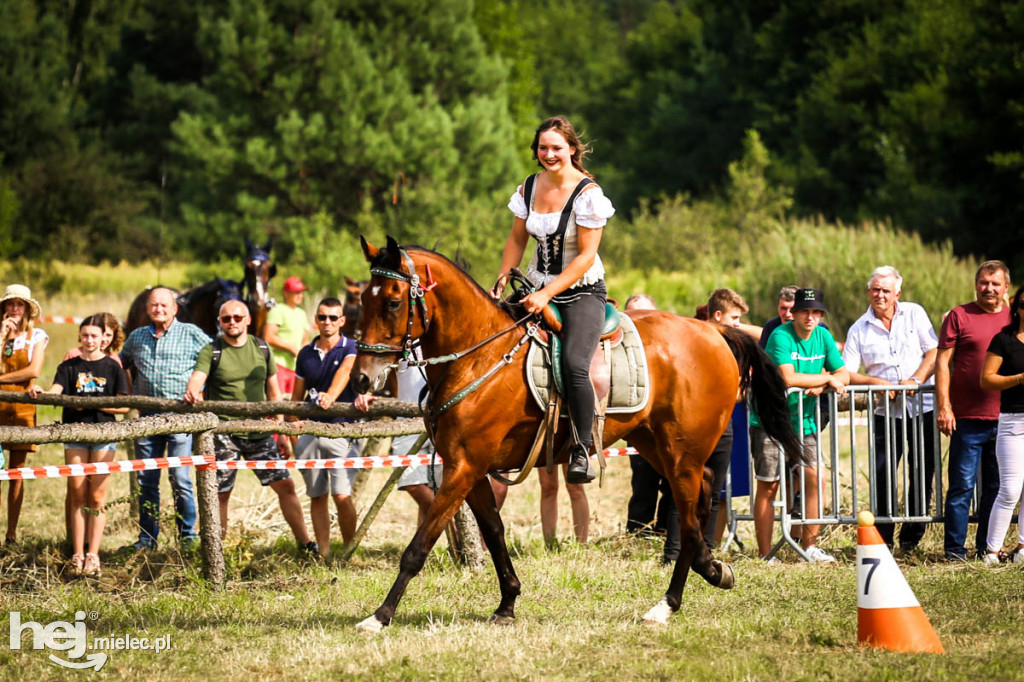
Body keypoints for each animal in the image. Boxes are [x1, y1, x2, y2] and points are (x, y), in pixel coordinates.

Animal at [352, 238, 806, 630]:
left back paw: (668, 603)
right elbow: (494, 534)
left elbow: (419, 545)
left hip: (681, 455)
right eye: (362, 301)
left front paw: (380, 615)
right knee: (707, 489)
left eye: (393, 301)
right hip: (656, 445)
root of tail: (714, 332)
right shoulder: (471, 469)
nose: (362, 378)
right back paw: (712, 568)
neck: (478, 355)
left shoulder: (463, 468)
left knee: (691, 517)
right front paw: (507, 602)